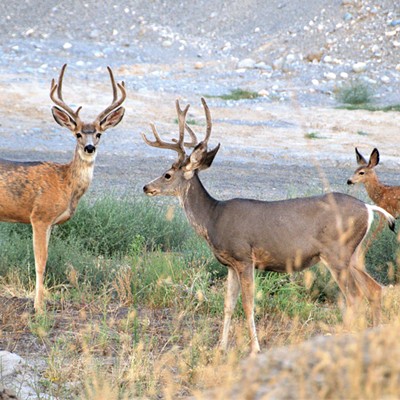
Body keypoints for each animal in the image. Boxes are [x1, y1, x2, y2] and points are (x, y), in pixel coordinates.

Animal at [0, 63, 125, 312]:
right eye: (77, 134)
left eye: (98, 134)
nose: (89, 147)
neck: (66, 183)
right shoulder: (39, 216)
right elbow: (41, 262)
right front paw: (39, 308)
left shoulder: (50, 223)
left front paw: (42, 303)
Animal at [142, 98, 396, 354]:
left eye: (167, 174)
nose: (146, 187)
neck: (213, 218)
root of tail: (368, 208)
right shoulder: (230, 264)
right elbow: (228, 305)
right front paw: (221, 347)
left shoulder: (244, 257)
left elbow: (248, 304)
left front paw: (255, 349)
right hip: (354, 254)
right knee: (375, 289)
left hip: (336, 253)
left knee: (354, 296)